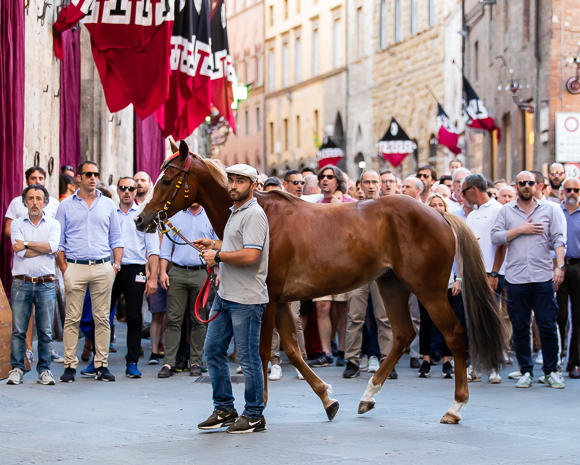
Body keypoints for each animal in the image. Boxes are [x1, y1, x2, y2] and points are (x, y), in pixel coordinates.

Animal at [136, 141, 508, 424]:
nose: (141, 219)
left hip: (429, 291)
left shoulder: (267, 300)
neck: (257, 212)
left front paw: (257, 410)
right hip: (392, 285)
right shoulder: (282, 301)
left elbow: (261, 350)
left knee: (454, 335)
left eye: (167, 179)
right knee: (404, 334)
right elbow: (292, 348)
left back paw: (455, 407)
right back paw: (368, 395)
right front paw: (327, 399)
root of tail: (439, 213)